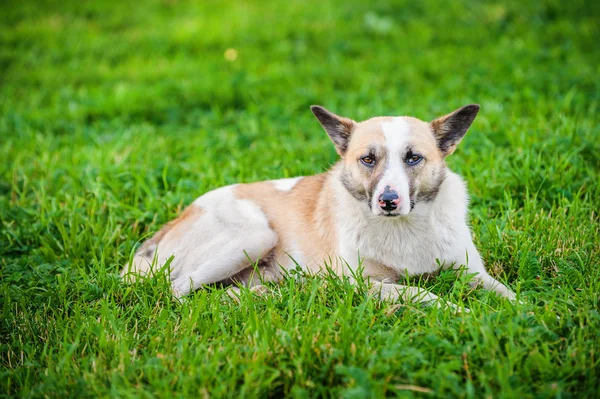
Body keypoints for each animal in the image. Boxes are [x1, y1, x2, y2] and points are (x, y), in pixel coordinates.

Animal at [122, 105, 516, 310]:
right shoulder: (361, 282)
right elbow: (418, 291)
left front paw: (522, 313)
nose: (388, 201)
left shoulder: (470, 270)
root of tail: (180, 215)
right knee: (179, 290)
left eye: (413, 158)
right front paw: (458, 311)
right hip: (254, 235)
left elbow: (505, 292)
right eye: (368, 159)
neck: (404, 228)